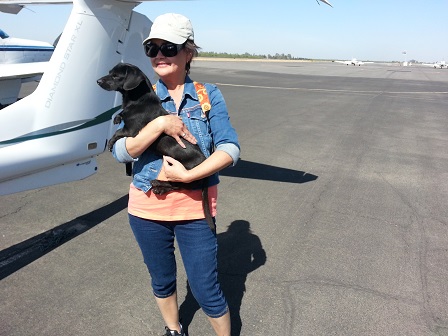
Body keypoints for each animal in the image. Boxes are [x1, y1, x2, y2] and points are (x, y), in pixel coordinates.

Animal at [96, 62, 215, 231]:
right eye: (109, 72)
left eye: (115, 76)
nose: (98, 81)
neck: (137, 100)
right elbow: (120, 116)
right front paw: (118, 117)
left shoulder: (131, 131)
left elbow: (118, 132)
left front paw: (111, 143)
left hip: (186, 175)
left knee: (178, 185)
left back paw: (159, 185)